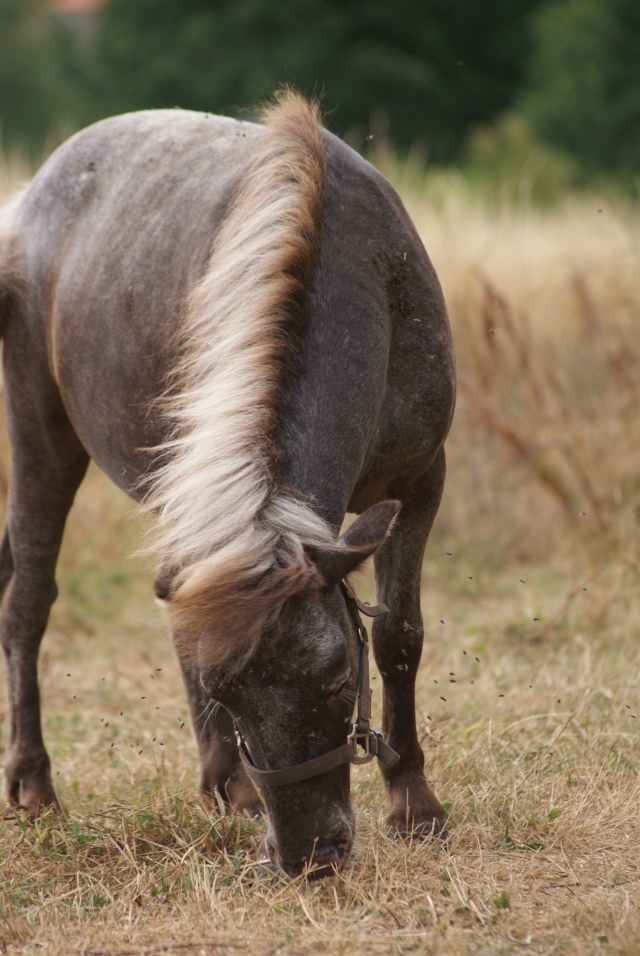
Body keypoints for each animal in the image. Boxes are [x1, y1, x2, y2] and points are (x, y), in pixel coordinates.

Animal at [0, 93, 456, 876]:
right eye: (233, 697)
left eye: (339, 679)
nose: (311, 852)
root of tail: (31, 199)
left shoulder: (422, 478)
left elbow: (400, 634)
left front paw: (415, 803)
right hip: (41, 436)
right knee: (27, 601)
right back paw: (38, 782)